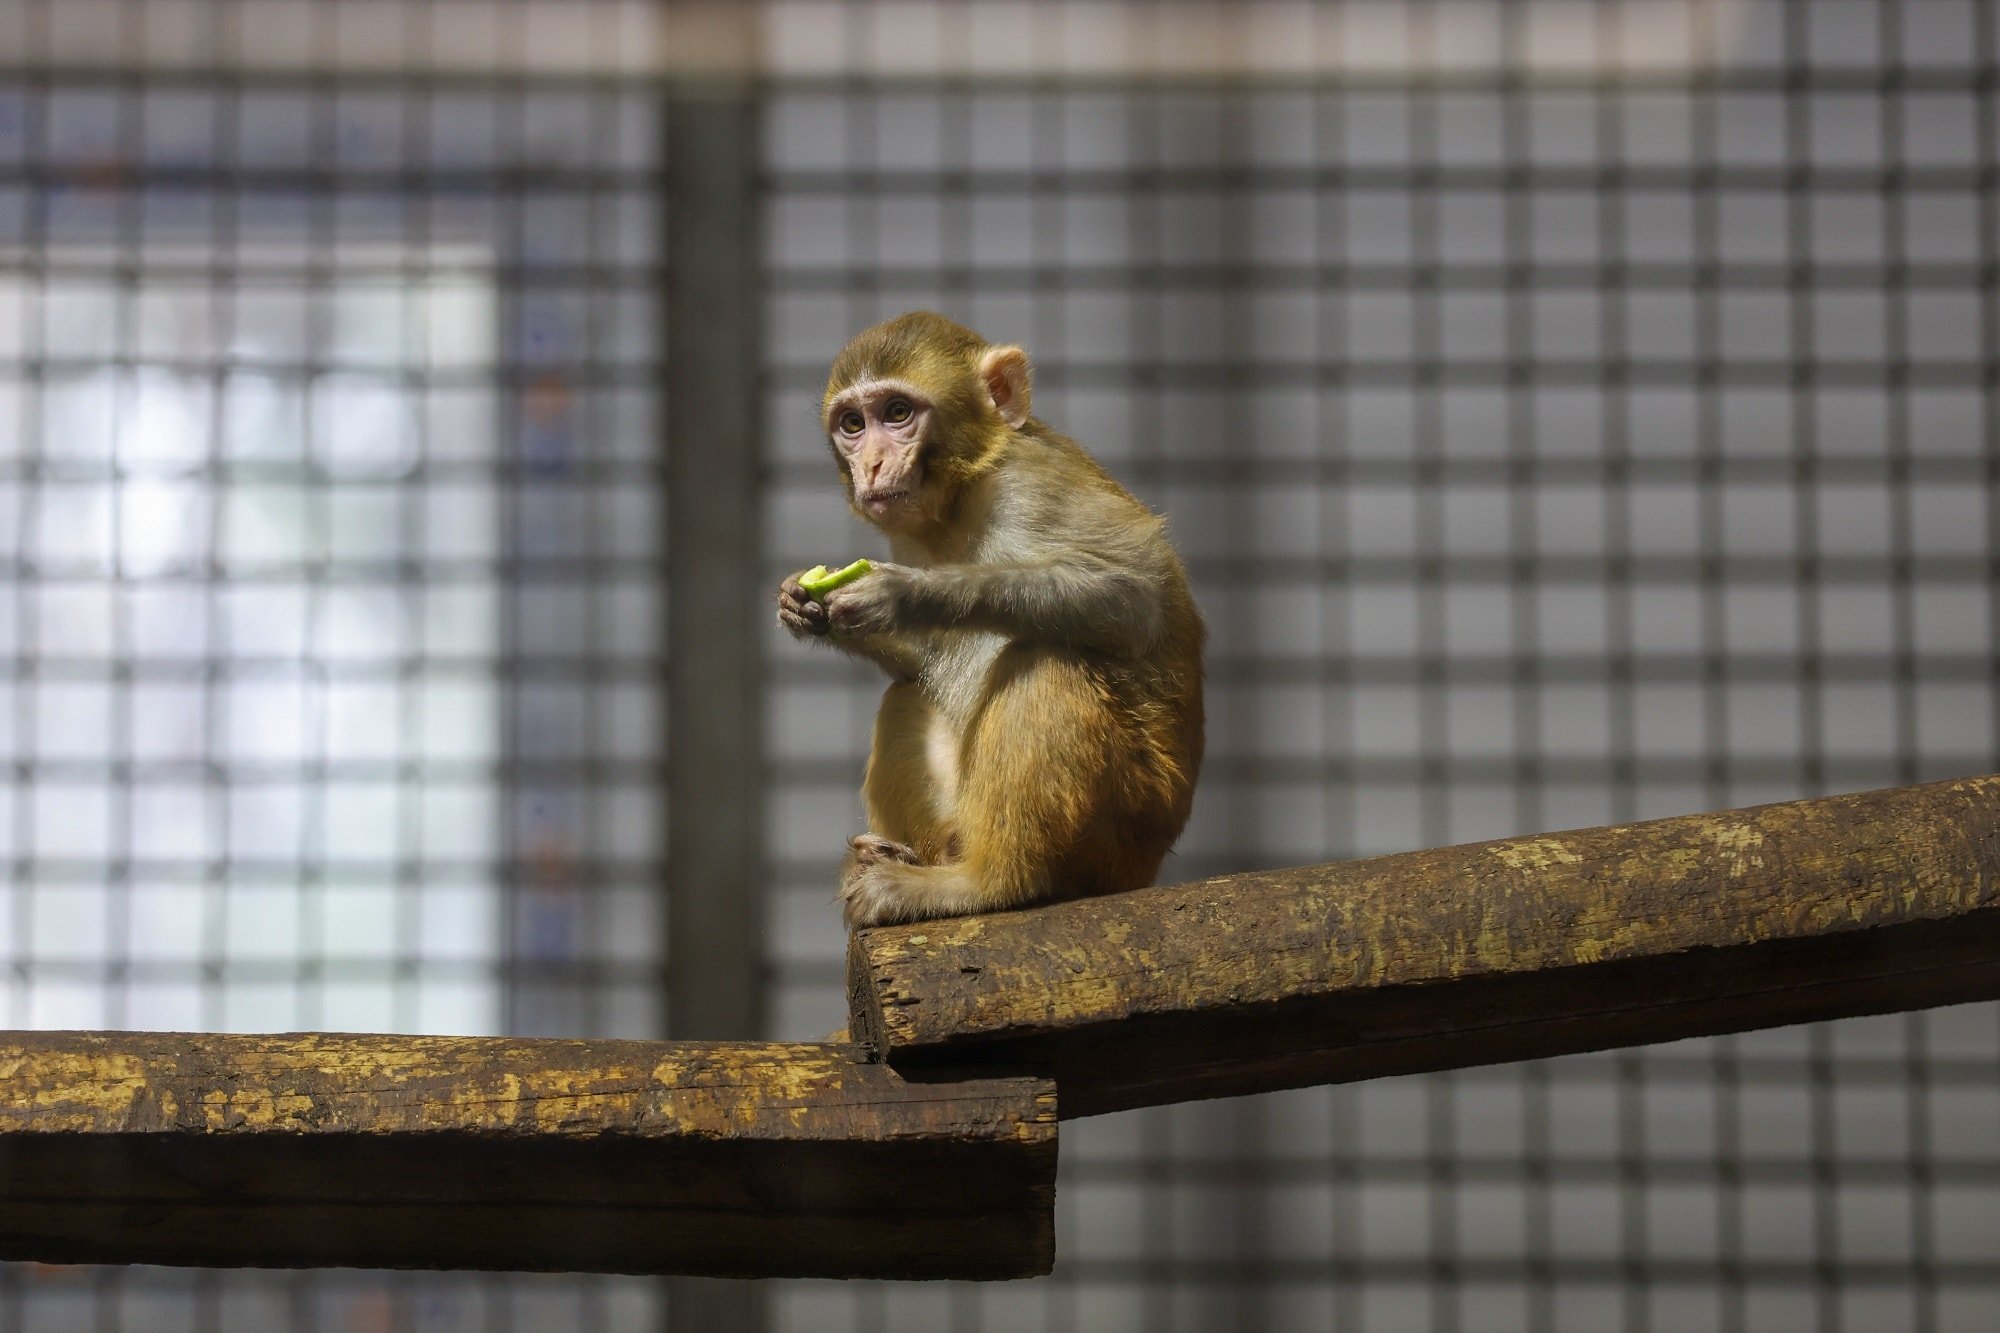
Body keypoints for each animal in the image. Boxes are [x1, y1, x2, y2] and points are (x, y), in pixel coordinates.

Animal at [772, 310, 1200, 924]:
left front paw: (908, 593)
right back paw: (897, 856)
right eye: (853, 423)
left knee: (1043, 658)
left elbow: (1134, 596)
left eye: (897, 413)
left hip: (1119, 835)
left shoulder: (1031, 483)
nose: (872, 464)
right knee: (908, 693)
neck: (961, 496)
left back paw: (987, 882)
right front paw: (802, 607)